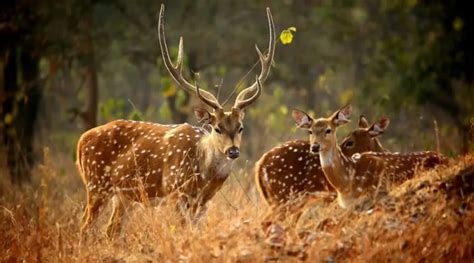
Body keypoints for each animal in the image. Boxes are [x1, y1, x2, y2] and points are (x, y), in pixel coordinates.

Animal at [77, 4, 278, 237]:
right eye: (217, 128)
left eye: (240, 127)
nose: (233, 151)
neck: (203, 177)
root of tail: (81, 141)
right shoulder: (174, 191)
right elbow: (182, 231)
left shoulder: (203, 202)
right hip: (96, 183)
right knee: (85, 226)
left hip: (124, 195)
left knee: (111, 230)